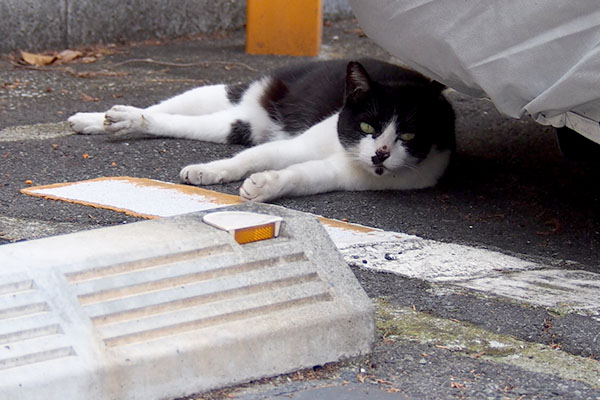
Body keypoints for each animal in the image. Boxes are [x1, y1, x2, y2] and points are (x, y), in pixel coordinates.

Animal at [68, 57, 454, 202]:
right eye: (366, 125)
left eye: (407, 135)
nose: (380, 154)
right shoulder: (301, 143)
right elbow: (252, 157)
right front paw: (208, 171)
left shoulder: (347, 173)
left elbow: (302, 176)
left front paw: (264, 186)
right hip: (249, 95)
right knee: (172, 110)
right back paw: (110, 118)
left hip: (241, 123)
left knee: (204, 124)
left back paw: (111, 121)